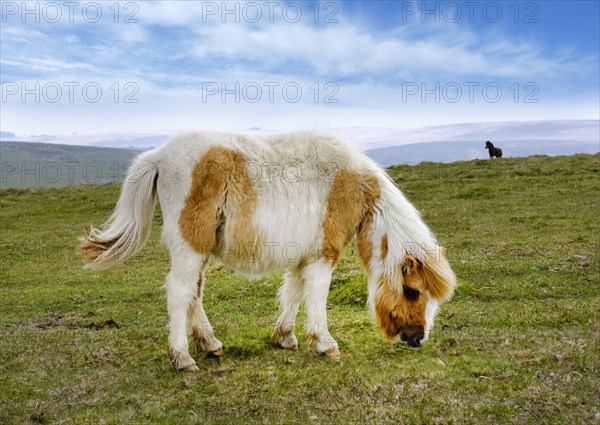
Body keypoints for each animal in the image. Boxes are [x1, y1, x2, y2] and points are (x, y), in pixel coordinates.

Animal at [79, 132, 454, 372]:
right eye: (412, 291)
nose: (417, 338)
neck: (353, 185)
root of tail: (157, 157)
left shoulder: (304, 256)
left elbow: (294, 293)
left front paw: (285, 337)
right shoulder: (324, 254)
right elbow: (316, 296)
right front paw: (325, 343)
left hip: (198, 250)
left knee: (193, 293)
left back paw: (210, 344)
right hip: (190, 245)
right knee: (180, 291)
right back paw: (183, 358)